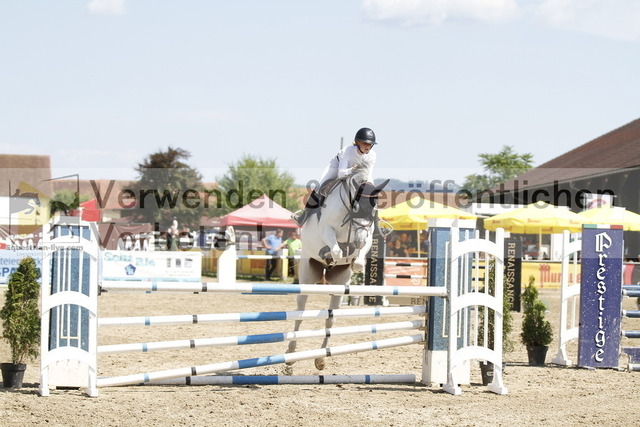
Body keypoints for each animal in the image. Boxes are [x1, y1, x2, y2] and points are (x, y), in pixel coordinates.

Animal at [286, 158, 390, 371]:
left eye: (374, 210)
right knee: (300, 313)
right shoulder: (327, 230)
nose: (358, 241)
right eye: (356, 207)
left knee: (330, 319)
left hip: (339, 286)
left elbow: (358, 261)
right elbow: (336, 250)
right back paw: (290, 357)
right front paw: (330, 253)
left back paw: (320, 359)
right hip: (307, 276)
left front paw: (353, 258)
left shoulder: (367, 237)